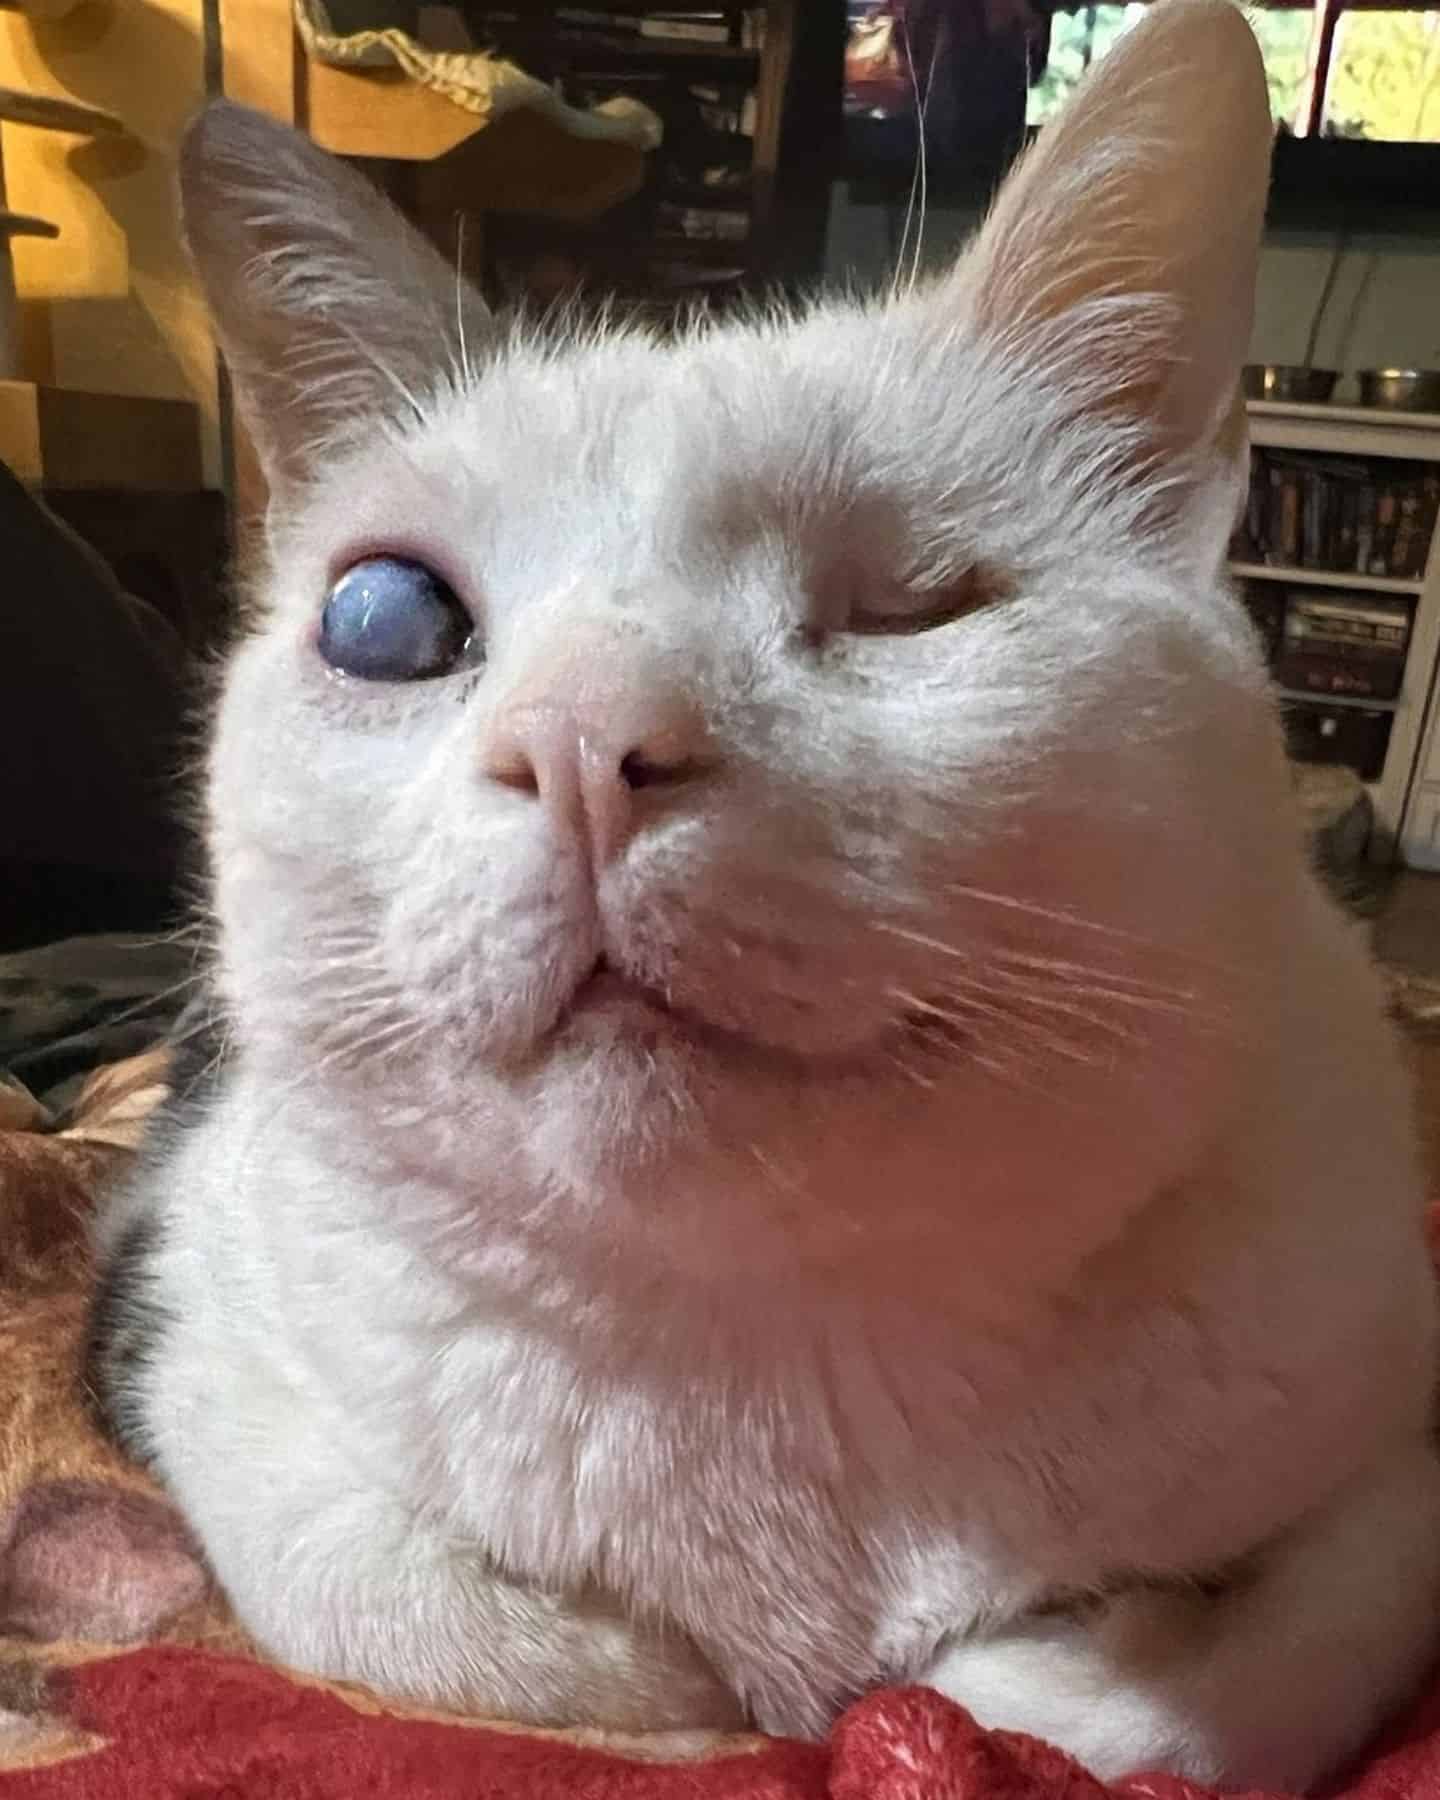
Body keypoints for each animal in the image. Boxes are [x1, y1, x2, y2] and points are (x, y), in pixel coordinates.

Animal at [90, 7, 1440, 1792]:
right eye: (388, 621)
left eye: (911, 608)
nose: (583, 742)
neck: (774, 1363)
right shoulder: (177, 1328)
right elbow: (400, 1600)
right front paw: (688, 1685)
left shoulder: (1396, 1455)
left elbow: (1176, 1703)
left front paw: (983, 1689)